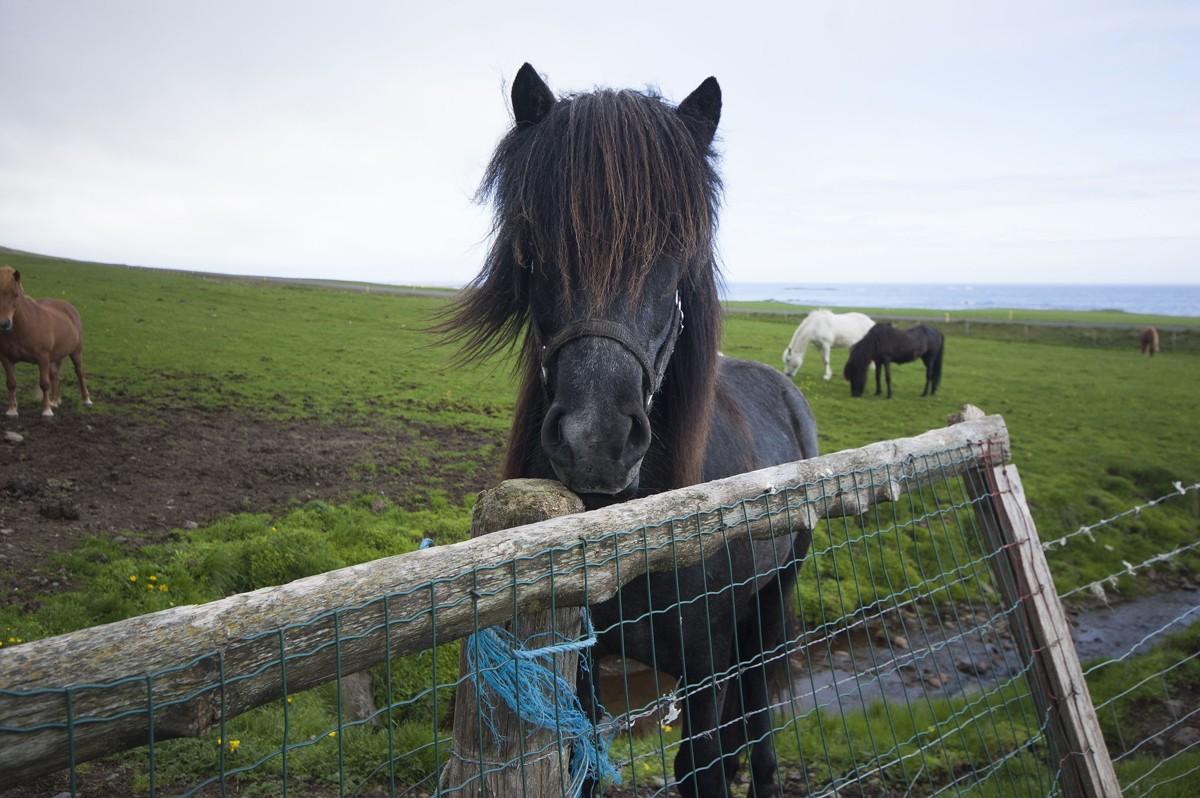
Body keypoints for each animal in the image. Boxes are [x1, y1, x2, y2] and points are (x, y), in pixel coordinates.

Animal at [0, 266, 92, 417]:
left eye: (16, 294)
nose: (4, 324)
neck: (22, 327)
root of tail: (68, 307)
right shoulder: (6, 359)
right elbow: (11, 383)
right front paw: (12, 410)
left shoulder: (42, 357)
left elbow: (44, 383)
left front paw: (46, 410)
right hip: (56, 355)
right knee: (55, 375)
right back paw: (54, 401)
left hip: (76, 352)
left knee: (79, 372)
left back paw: (86, 400)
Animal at [446, 63, 820, 796]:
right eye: (535, 242)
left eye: (675, 249)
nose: (596, 440)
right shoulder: (579, 669)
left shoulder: (704, 662)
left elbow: (700, 766)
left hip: (773, 599)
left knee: (758, 708)